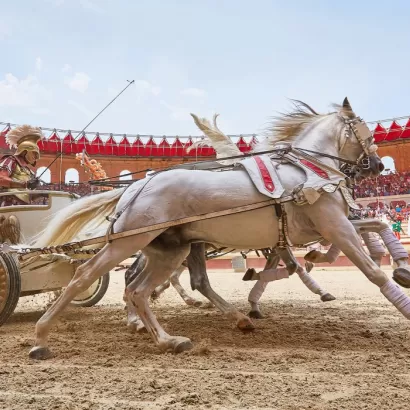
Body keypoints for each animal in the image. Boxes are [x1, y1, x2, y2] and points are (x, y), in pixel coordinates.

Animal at [30, 97, 402, 358]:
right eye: (367, 132)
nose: (377, 165)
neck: (307, 171)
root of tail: (136, 187)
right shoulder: (331, 224)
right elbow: (368, 266)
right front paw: (400, 291)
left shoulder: (315, 230)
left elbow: (372, 229)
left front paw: (397, 263)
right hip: (128, 243)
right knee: (87, 276)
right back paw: (42, 336)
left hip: (170, 249)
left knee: (140, 288)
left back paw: (169, 338)